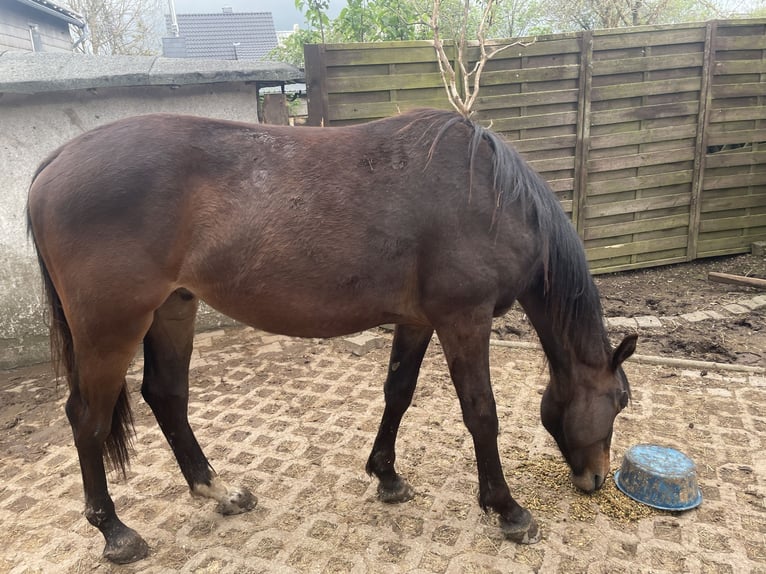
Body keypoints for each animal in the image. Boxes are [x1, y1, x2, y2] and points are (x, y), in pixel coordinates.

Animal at [27, 108, 640, 564]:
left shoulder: (418, 320)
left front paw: (387, 476)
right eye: (619, 400)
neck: (491, 198)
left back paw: (219, 491)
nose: (597, 478)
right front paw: (508, 509)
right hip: (111, 328)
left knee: (166, 396)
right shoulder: (464, 319)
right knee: (87, 418)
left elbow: (399, 393)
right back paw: (115, 533)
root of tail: (55, 163)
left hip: (173, 309)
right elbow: (480, 412)